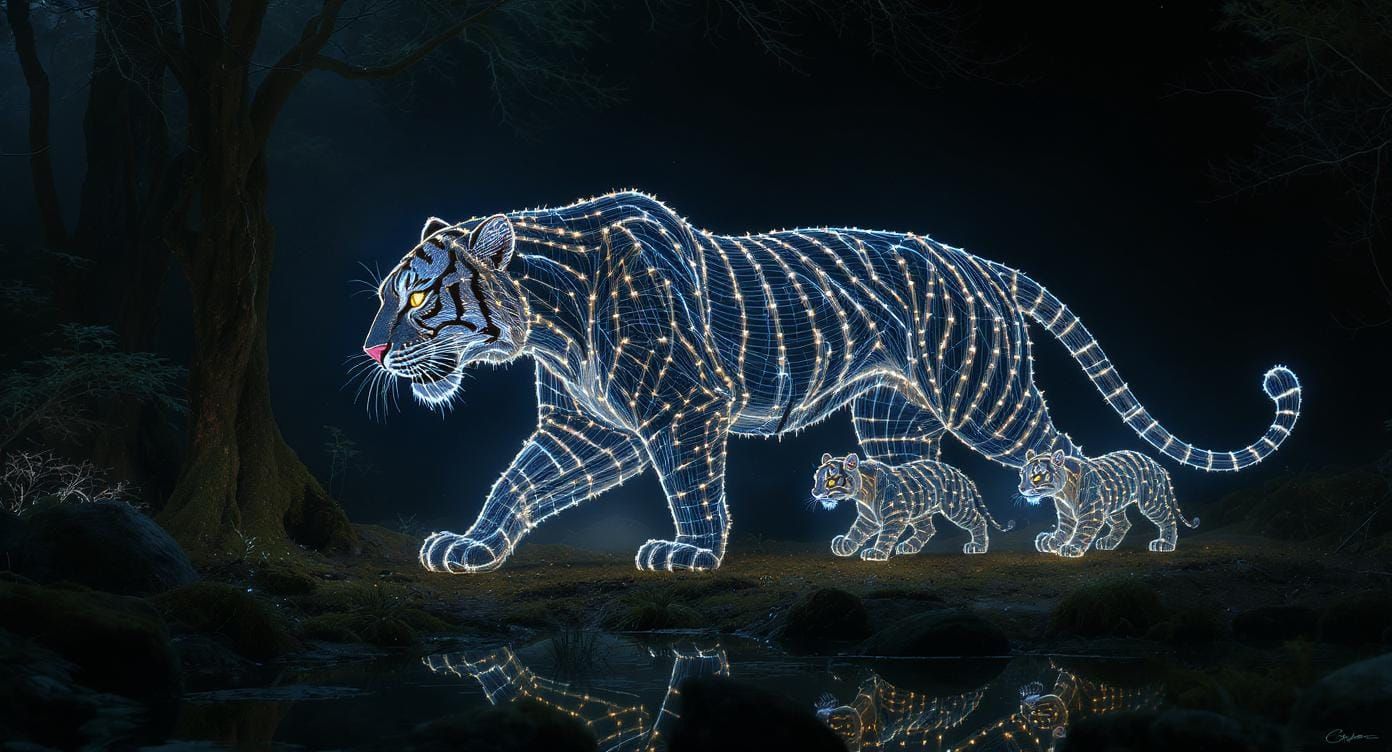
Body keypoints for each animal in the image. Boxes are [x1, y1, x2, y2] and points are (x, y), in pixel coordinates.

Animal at [812, 452, 1014, 558]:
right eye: (816, 478)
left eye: (830, 481)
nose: (815, 492)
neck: (862, 495)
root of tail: (960, 473)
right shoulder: (869, 518)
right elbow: (856, 531)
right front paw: (844, 546)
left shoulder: (895, 516)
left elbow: (886, 536)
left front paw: (876, 553)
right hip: (920, 512)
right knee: (927, 529)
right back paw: (908, 547)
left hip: (958, 507)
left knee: (978, 520)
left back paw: (977, 547)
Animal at [1018, 448, 1199, 557]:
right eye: (1022, 475)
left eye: (1036, 477)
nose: (1021, 488)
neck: (1062, 493)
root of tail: (1158, 466)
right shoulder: (1066, 516)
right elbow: (1063, 531)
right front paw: (1050, 541)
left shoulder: (1091, 514)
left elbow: (1082, 531)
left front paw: (1071, 548)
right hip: (1113, 506)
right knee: (1124, 524)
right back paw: (1108, 542)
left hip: (1151, 502)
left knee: (1169, 518)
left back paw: (1165, 544)